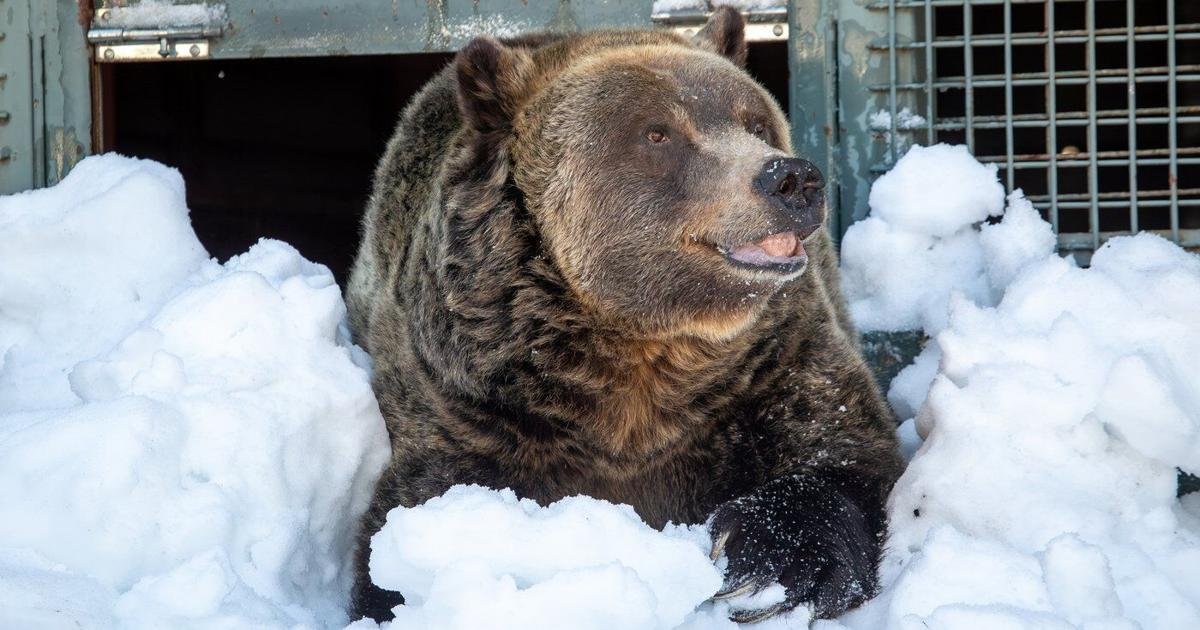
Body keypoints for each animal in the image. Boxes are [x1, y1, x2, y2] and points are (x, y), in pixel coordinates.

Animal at [345, 7, 902, 623]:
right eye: (657, 133)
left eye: (756, 123)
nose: (790, 178)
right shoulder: (469, 398)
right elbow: (413, 510)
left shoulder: (772, 363)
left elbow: (841, 453)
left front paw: (766, 564)